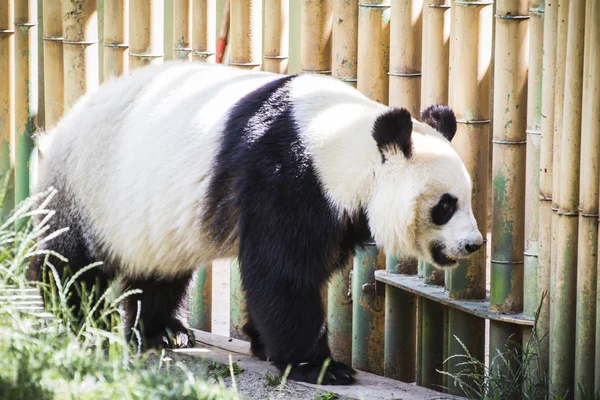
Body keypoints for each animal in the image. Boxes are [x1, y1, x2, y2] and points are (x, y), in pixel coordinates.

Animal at [30, 61, 486, 384]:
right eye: (445, 206)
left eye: (467, 198)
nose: (473, 244)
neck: (348, 140)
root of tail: (62, 124)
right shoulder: (289, 173)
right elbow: (283, 270)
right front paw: (320, 366)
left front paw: (264, 342)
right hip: (91, 185)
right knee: (70, 260)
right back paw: (70, 317)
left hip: (152, 216)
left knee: (161, 270)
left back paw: (165, 332)